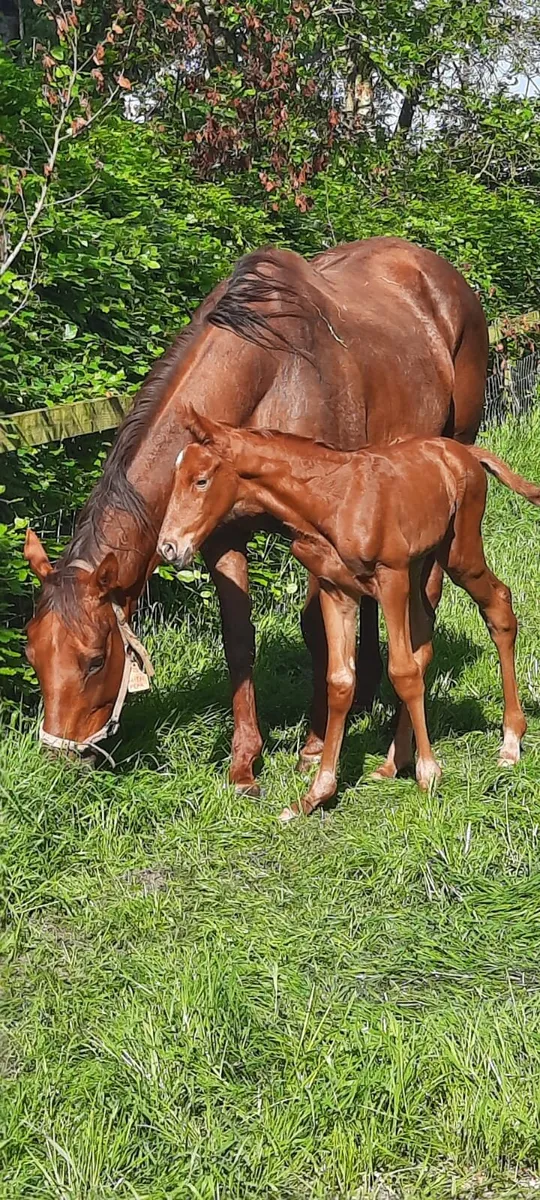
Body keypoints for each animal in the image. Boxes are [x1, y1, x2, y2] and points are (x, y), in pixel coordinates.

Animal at [24, 238, 488, 790]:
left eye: (95, 661)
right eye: (32, 655)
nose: (58, 762)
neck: (271, 375)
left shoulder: (314, 536)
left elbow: (317, 635)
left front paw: (313, 746)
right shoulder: (223, 538)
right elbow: (240, 641)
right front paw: (244, 763)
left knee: (426, 600)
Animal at [157, 410, 540, 819]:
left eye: (201, 480)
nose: (169, 547)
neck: (331, 501)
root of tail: (463, 453)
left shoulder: (390, 577)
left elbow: (401, 672)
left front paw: (429, 774)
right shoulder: (335, 589)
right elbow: (340, 681)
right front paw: (316, 794)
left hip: (458, 552)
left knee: (498, 606)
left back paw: (510, 742)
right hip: (421, 565)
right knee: (424, 642)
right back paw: (393, 761)